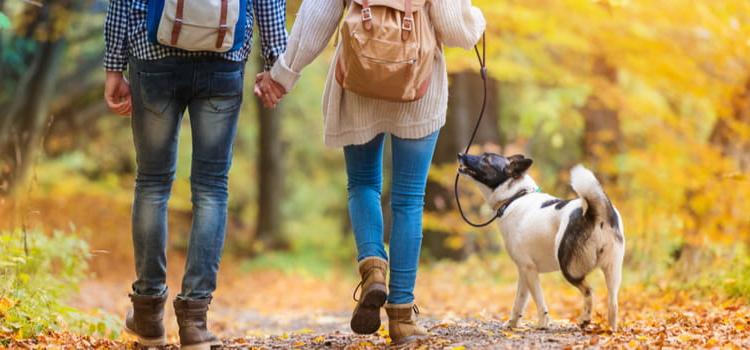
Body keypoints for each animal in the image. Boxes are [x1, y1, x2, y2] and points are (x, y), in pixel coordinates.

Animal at [458, 153, 628, 330]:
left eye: (486, 159)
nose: (461, 155)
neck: (514, 197)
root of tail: (595, 212)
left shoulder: (529, 269)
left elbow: (539, 301)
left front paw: (542, 324)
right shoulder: (524, 272)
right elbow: (519, 302)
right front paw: (512, 324)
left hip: (569, 268)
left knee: (589, 291)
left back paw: (585, 319)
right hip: (612, 271)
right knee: (613, 304)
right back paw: (611, 331)